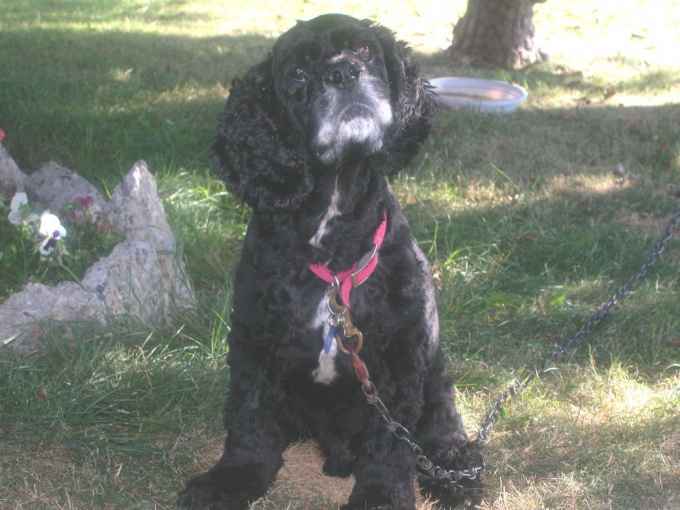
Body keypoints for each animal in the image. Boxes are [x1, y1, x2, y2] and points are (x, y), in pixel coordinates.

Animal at [178, 12, 480, 510]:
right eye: (298, 74)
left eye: (363, 50)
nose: (344, 74)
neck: (330, 245)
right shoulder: (255, 341)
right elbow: (249, 423)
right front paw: (230, 481)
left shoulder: (398, 359)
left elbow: (390, 442)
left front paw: (381, 497)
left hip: (436, 378)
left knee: (442, 431)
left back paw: (456, 476)